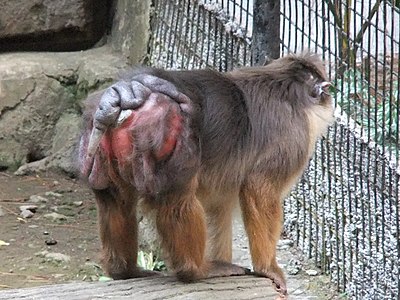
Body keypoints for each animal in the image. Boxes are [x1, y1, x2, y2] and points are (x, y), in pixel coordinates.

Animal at [78, 53, 334, 296]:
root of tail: (125, 92)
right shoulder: (292, 139)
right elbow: (259, 190)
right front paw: (268, 269)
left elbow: (218, 207)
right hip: (166, 135)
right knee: (179, 199)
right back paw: (196, 271)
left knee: (115, 200)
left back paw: (124, 270)